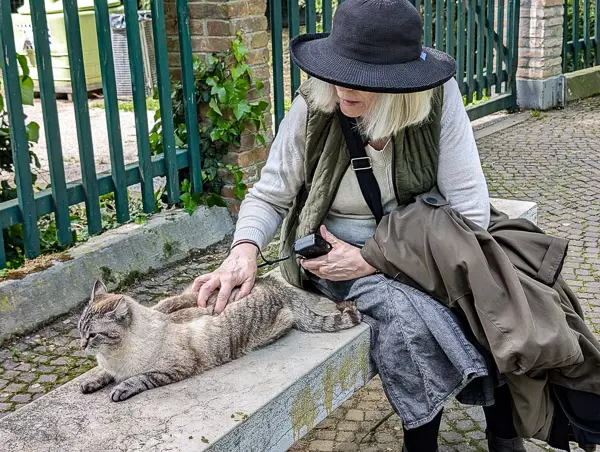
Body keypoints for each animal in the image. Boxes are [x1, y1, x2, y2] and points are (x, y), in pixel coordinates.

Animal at [79, 274, 360, 400]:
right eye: (80, 330)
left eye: (92, 335)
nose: (81, 345)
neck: (113, 355)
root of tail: (271, 282)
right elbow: (102, 373)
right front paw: (91, 381)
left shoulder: (175, 368)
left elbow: (139, 378)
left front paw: (120, 388)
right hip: (188, 292)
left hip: (271, 327)